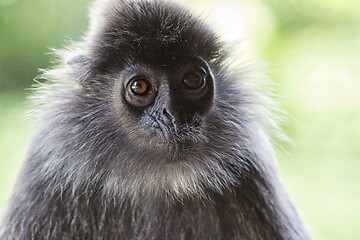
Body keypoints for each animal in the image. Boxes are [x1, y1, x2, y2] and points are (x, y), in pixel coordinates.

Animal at [0, 0, 310, 239]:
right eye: (140, 87)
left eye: (193, 79)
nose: (173, 114)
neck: (156, 179)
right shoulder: (44, 175)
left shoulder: (251, 170)